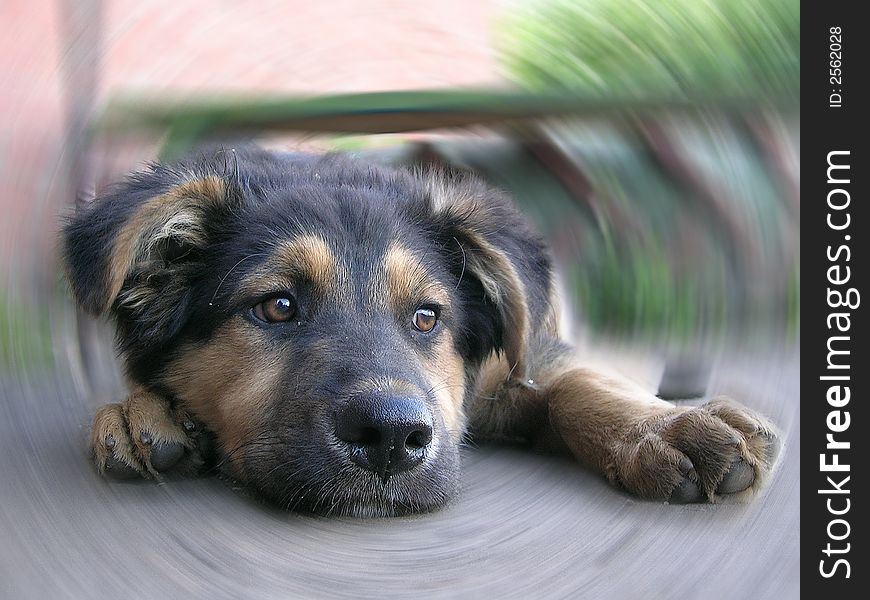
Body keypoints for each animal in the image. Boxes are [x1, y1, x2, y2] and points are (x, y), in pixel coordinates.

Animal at [63, 146, 784, 516]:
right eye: (277, 307)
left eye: (427, 317)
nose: (390, 438)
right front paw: (139, 412)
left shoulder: (512, 366)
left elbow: (578, 379)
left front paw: (663, 428)